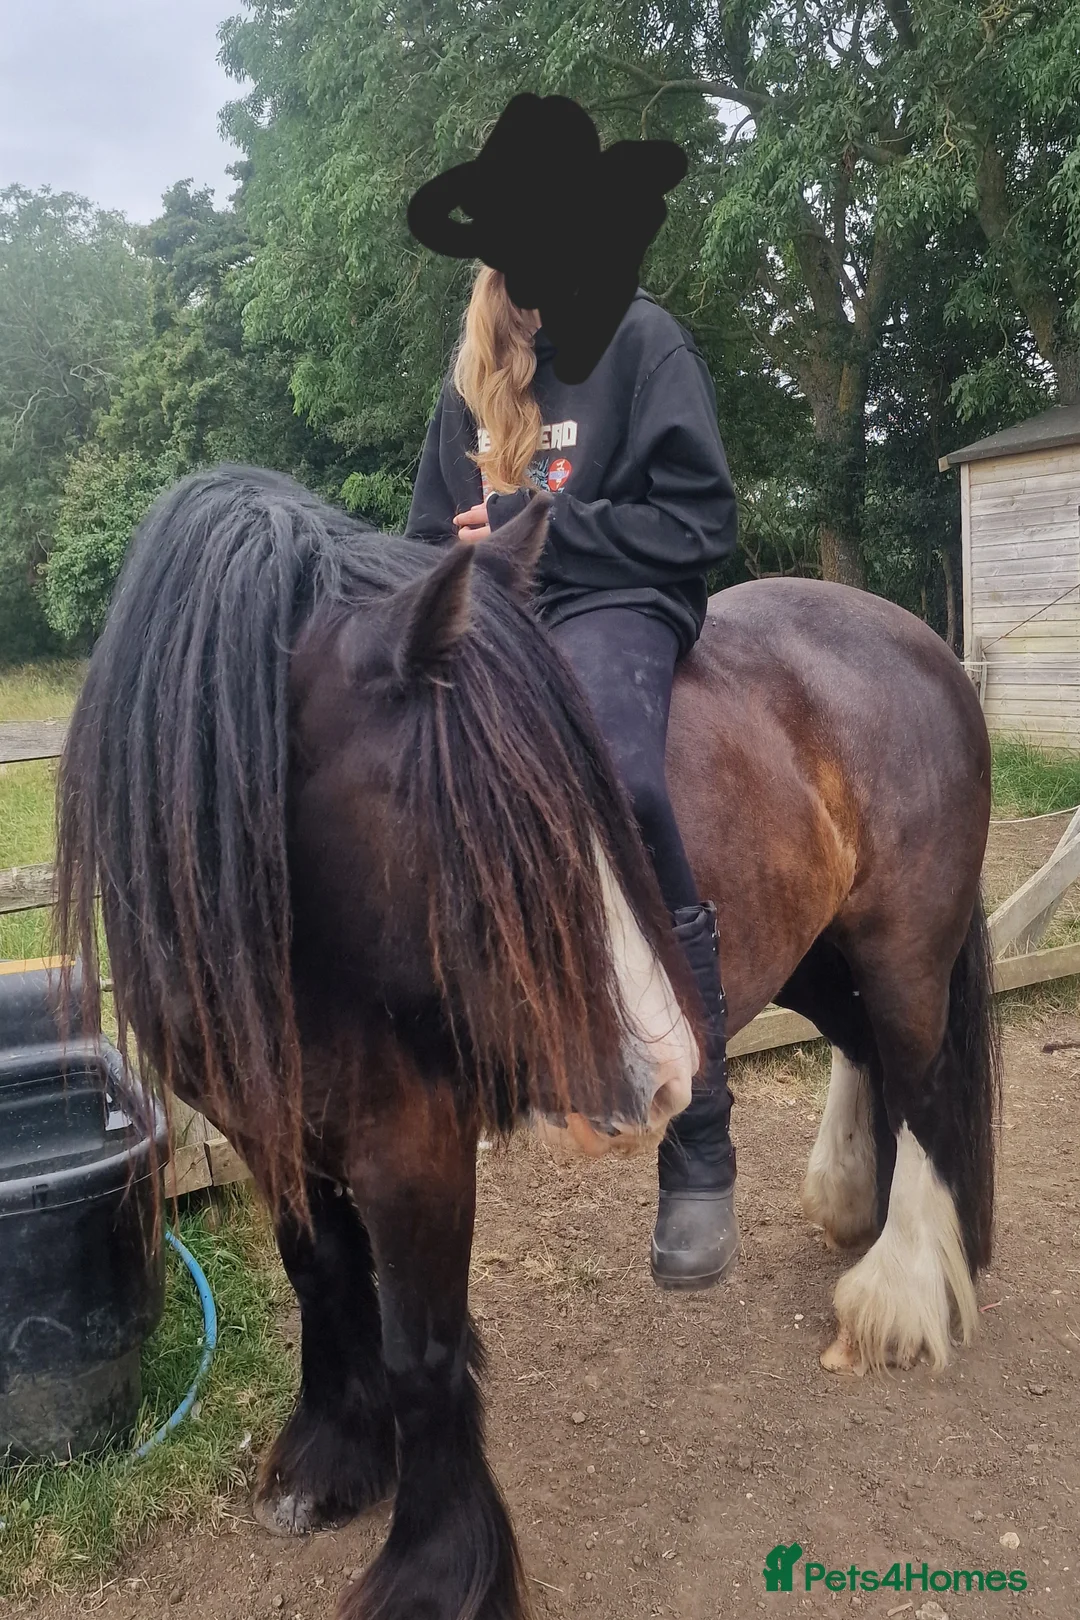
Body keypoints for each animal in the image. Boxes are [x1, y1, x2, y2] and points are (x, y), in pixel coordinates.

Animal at [55, 465, 999, 1620]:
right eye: (489, 823)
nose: (659, 1075)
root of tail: (916, 641)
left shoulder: (412, 1137)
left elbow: (422, 1346)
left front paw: (434, 1570)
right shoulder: (263, 1118)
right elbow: (320, 1272)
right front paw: (331, 1459)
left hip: (904, 946)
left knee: (925, 1083)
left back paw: (900, 1293)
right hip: (824, 953)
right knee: (873, 1059)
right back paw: (863, 1215)